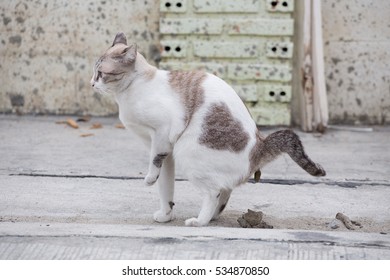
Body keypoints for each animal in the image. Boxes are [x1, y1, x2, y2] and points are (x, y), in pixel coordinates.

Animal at [91, 32, 326, 228]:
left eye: (101, 73)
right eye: (94, 72)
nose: (92, 83)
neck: (131, 90)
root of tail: (259, 147)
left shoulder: (161, 134)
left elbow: (155, 165)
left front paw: (149, 179)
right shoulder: (165, 150)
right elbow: (165, 186)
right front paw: (166, 215)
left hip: (187, 150)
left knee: (213, 192)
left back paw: (200, 221)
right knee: (224, 190)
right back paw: (212, 216)